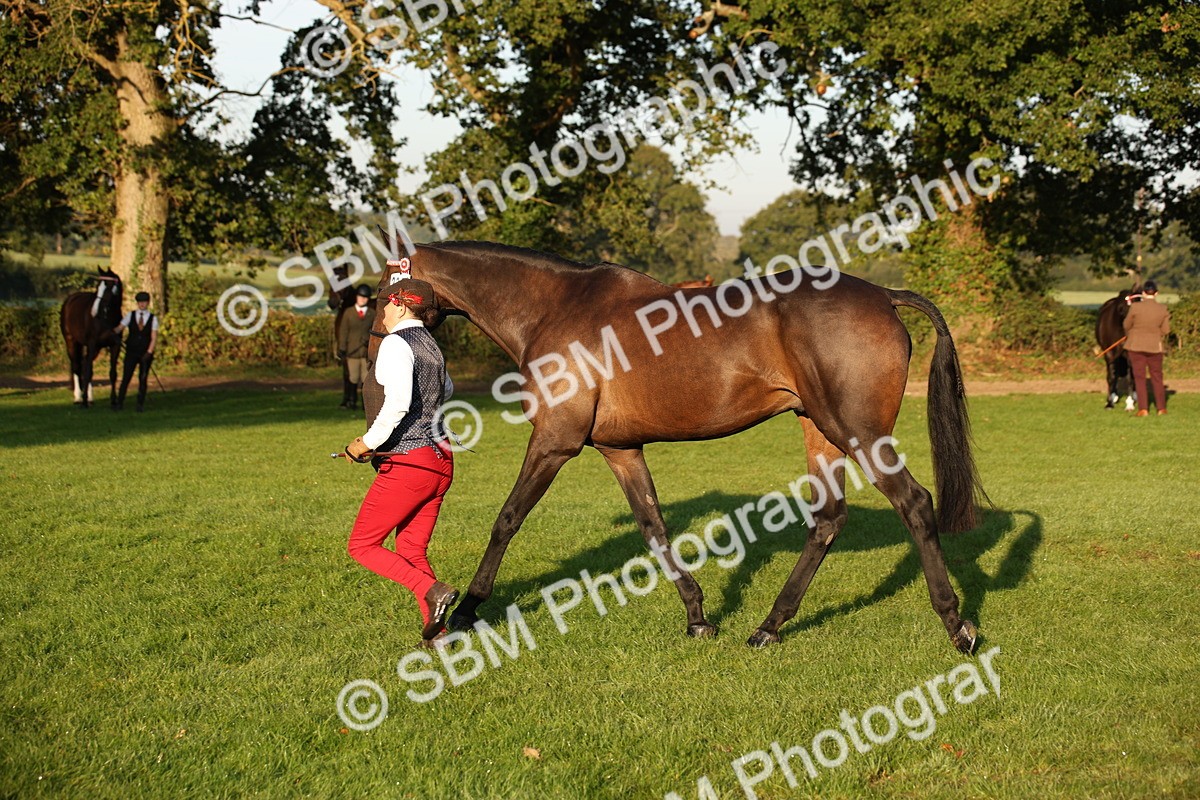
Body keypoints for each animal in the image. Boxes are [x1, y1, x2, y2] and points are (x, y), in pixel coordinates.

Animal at [59, 267, 123, 408]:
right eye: (98, 287)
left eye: (109, 286)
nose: (94, 312)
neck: (105, 318)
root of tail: (70, 299)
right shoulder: (92, 344)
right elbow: (88, 372)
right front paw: (83, 401)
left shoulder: (114, 346)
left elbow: (113, 373)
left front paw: (114, 401)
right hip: (71, 341)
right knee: (77, 366)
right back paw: (78, 397)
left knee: (84, 363)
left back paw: (90, 398)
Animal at [373, 240, 987, 654]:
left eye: (385, 286)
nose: (380, 334)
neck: (554, 308)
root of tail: (884, 295)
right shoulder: (621, 450)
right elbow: (655, 528)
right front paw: (697, 616)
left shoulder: (554, 442)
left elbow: (507, 519)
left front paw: (464, 611)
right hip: (820, 430)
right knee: (828, 521)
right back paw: (768, 627)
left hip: (857, 432)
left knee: (914, 503)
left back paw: (957, 625)